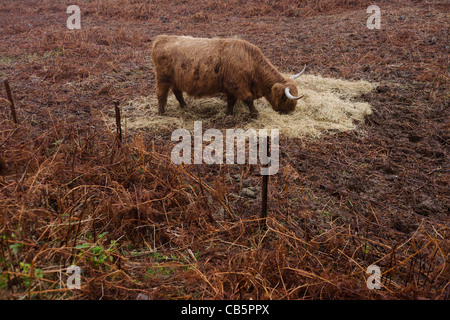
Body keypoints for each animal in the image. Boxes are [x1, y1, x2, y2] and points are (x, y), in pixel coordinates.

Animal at [151, 35, 306, 117]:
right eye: (287, 99)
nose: (291, 111)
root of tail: (162, 39)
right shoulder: (239, 86)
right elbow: (248, 99)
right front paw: (255, 113)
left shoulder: (232, 87)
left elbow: (231, 101)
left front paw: (229, 113)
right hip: (163, 79)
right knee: (161, 94)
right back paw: (161, 112)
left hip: (176, 80)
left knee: (177, 93)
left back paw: (184, 106)